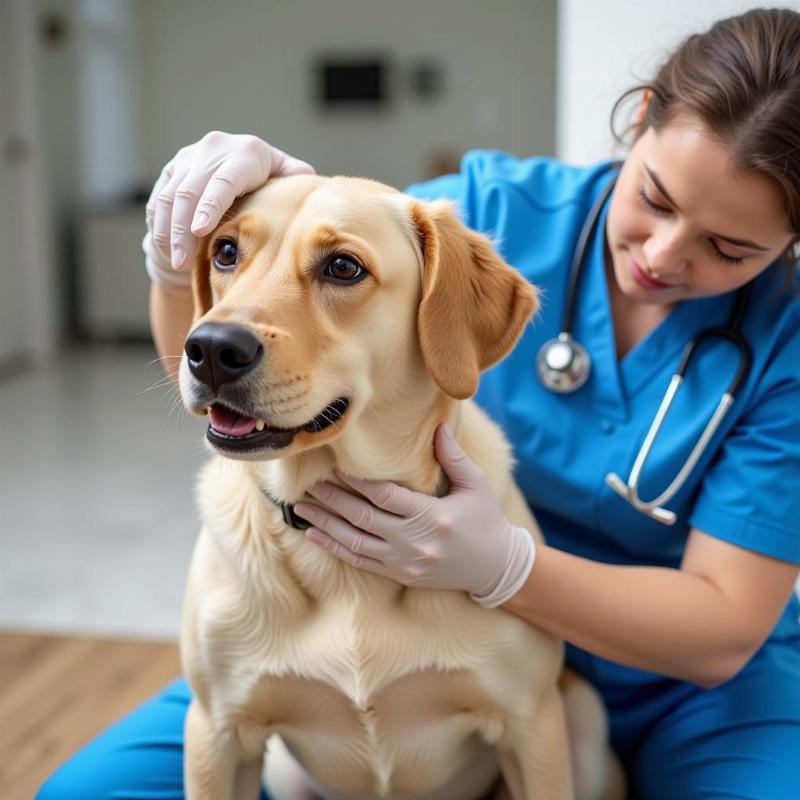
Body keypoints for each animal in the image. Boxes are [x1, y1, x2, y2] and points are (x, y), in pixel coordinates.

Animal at [180, 175, 620, 800]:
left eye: (343, 267)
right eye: (224, 252)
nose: (212, 349)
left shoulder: (531, 727)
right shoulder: (215, 733)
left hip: (581, 712)